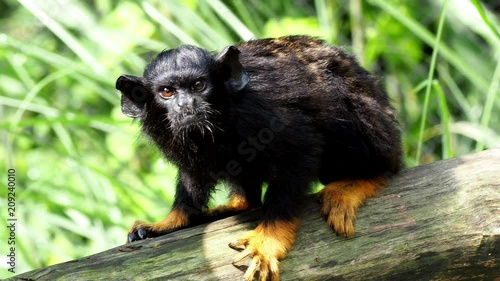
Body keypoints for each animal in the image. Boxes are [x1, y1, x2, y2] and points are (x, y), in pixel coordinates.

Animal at [116, 36, 402, 278]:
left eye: (198, 85)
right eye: (167, 92)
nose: (187, 106)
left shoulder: (259, 113)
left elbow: (301, 148)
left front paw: (269, 239)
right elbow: (192, 174)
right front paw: (173, 220)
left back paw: (363, 179)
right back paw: (240, 203)